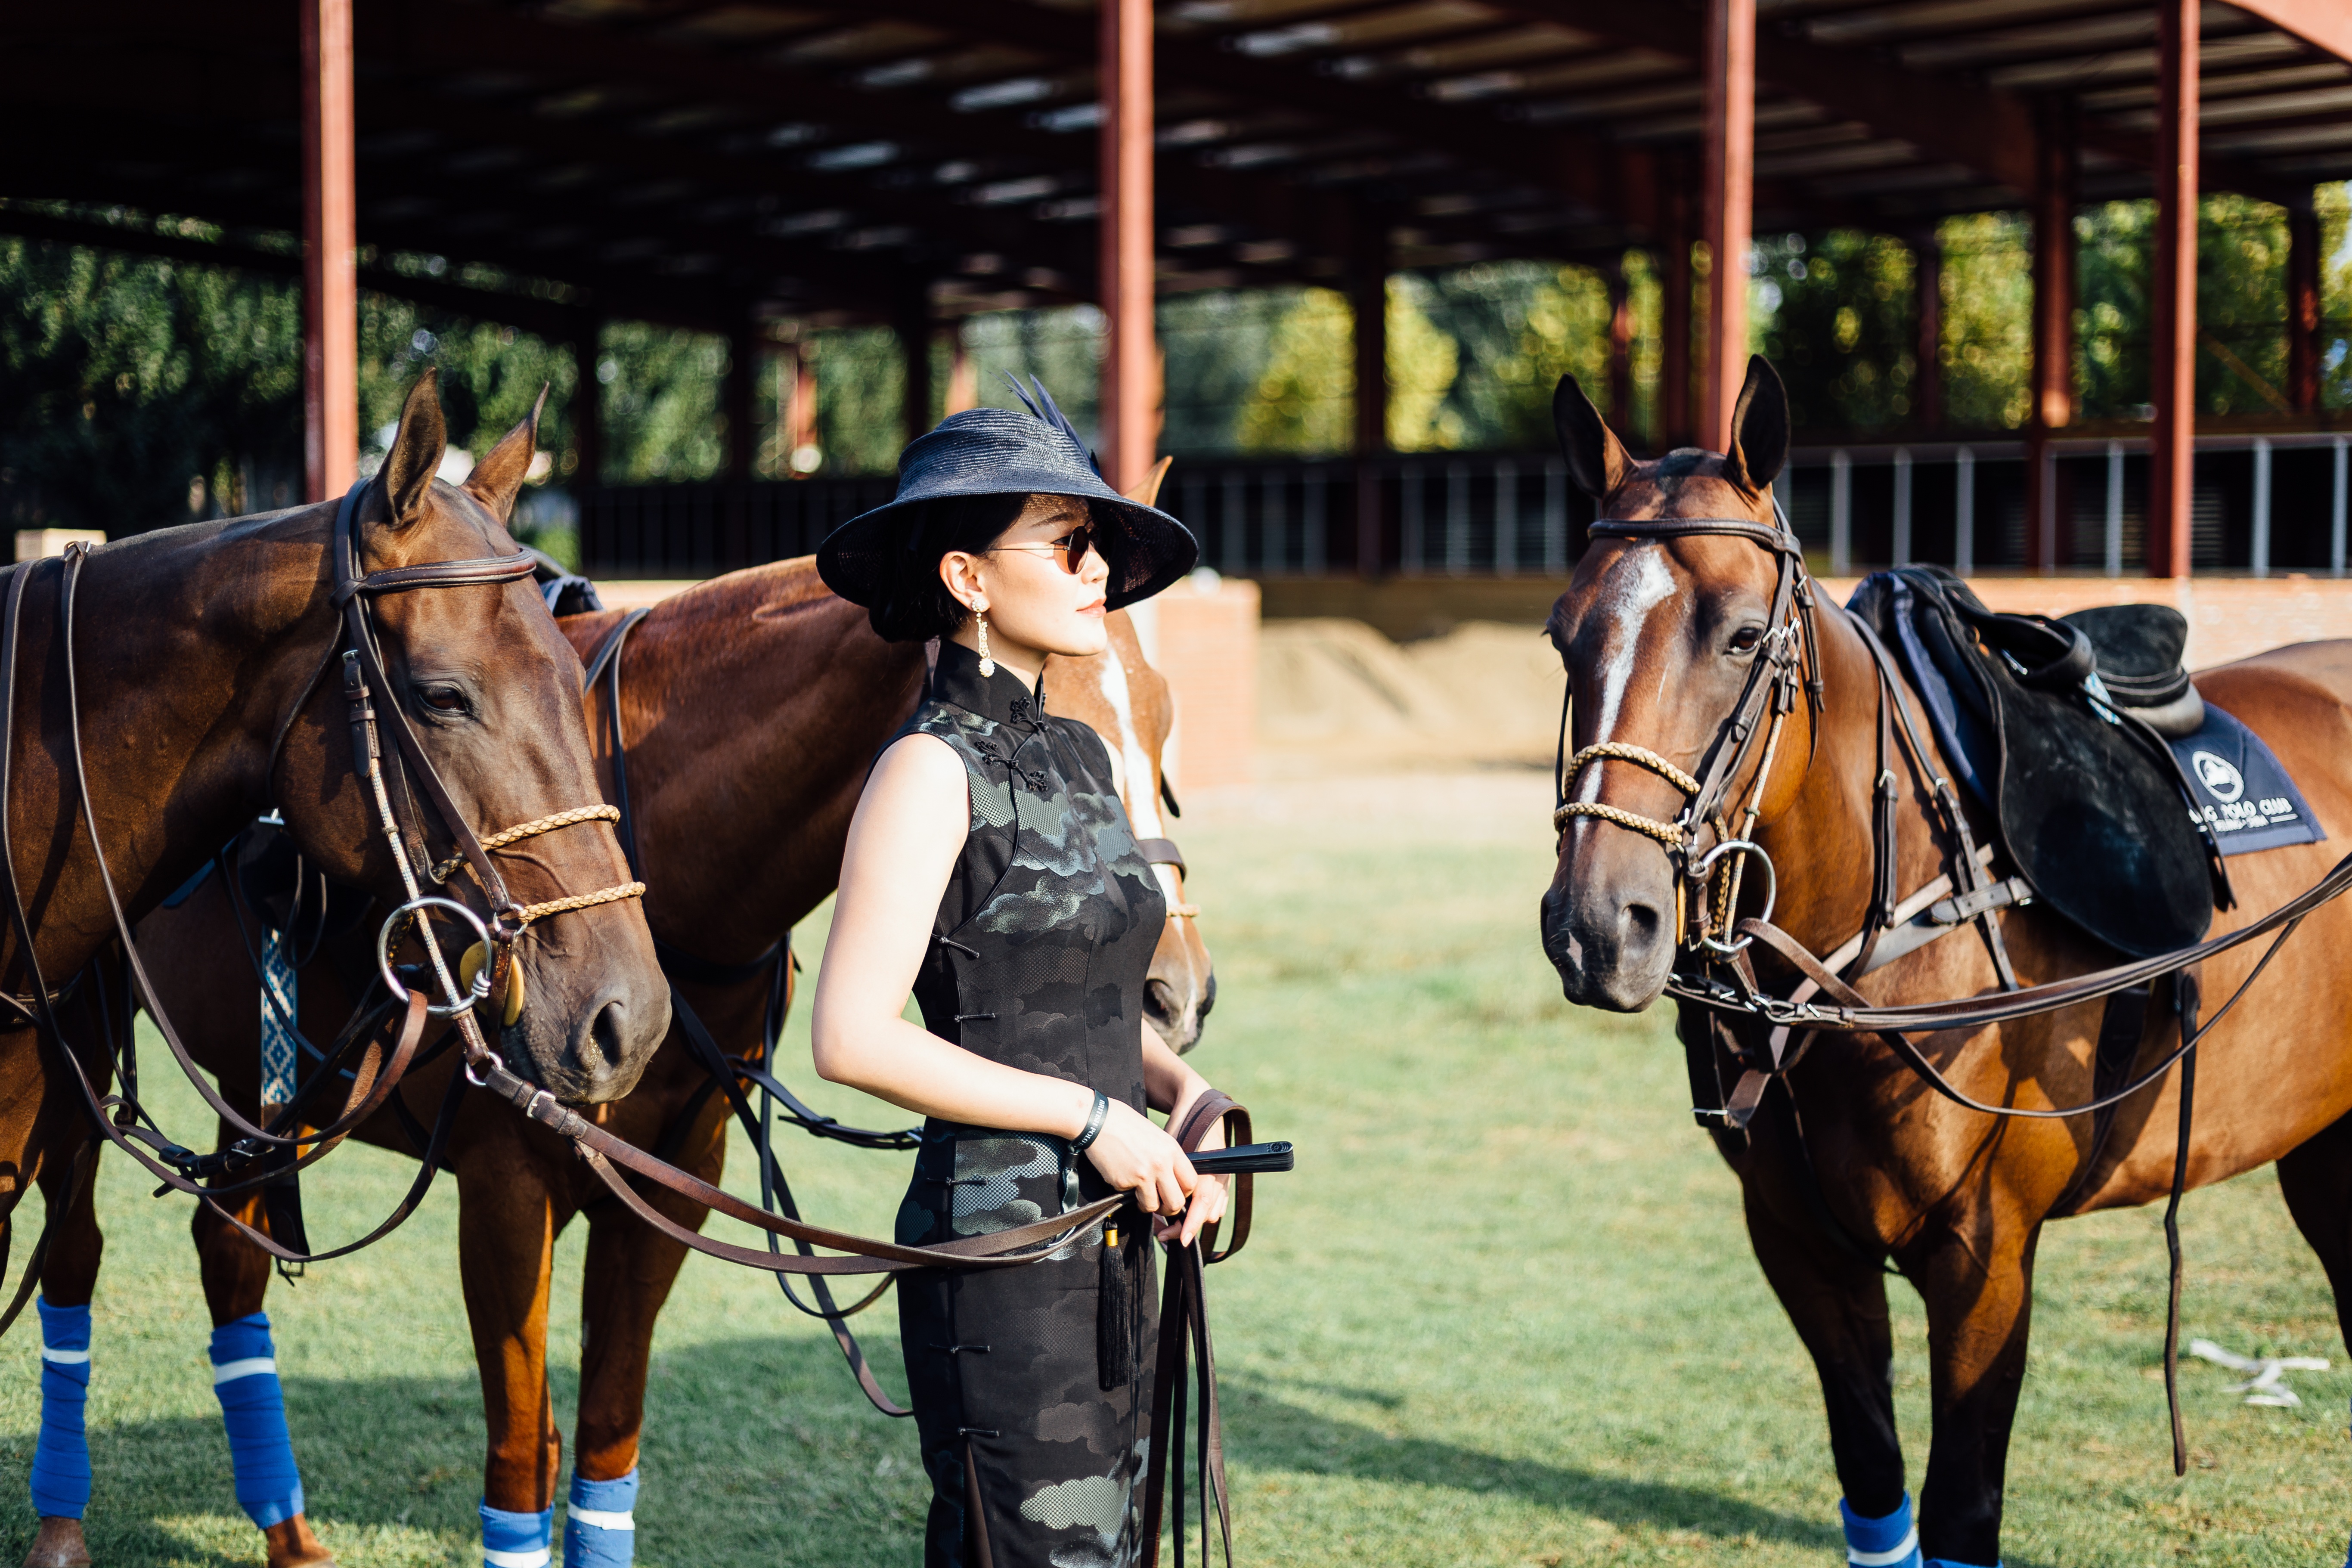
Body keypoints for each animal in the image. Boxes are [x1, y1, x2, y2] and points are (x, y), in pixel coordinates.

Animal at [105, 517, 1213, 1568]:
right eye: (1066, 723)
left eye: (1165, 716)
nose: (1175, 993)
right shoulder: (507, 1183)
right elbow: (525, 1454)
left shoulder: (677, 1177)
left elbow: (604, 1437)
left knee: (229, 1243)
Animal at [1533, 359, 2352, 1568]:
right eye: (1562, 636)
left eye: (1741, 636)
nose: (1598, 924)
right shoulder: (1798, 1242)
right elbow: (1875, 1482)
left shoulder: (1984, 1258)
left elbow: (1962, 1509)